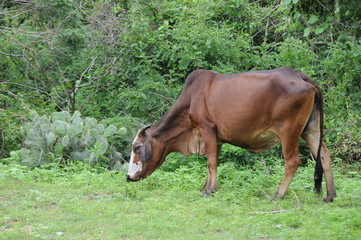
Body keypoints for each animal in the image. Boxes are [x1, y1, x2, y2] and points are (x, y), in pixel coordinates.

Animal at [126, 67, 334, 202]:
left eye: (137, 148)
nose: (128, 177)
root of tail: (302, 77)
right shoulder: (216, 138)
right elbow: (213, 161)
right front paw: (206, 187)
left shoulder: (207, 128)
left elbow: (210, 161)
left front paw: (210, 190)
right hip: (310, 130)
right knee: (324, 154)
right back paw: (330, 195)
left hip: (289, 132)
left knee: (292, 161)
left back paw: (278, 194)